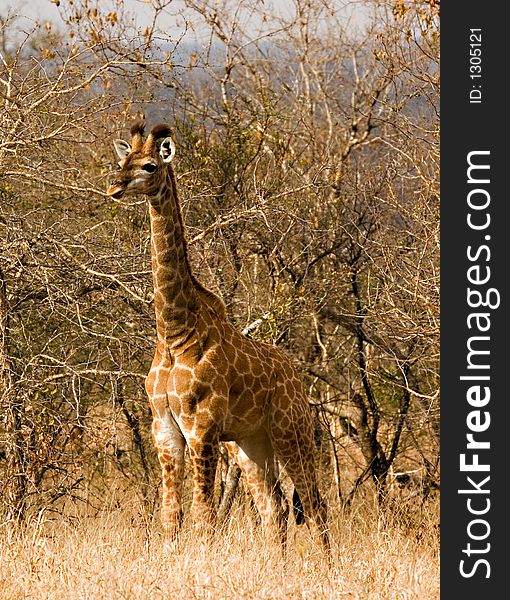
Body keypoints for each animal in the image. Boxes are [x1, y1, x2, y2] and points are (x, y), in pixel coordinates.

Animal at [107, 119, 330, 552]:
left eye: (149, 166)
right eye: (122, 161)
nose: (114, 188)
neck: (174, 333)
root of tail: (298, 380)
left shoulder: (202, 427)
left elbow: (204, 515)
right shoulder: (164, 429)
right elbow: (171, 517)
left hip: (290, 432)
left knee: (315, 505)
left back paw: (325, 566)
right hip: (249, 444)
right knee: (274, 510)